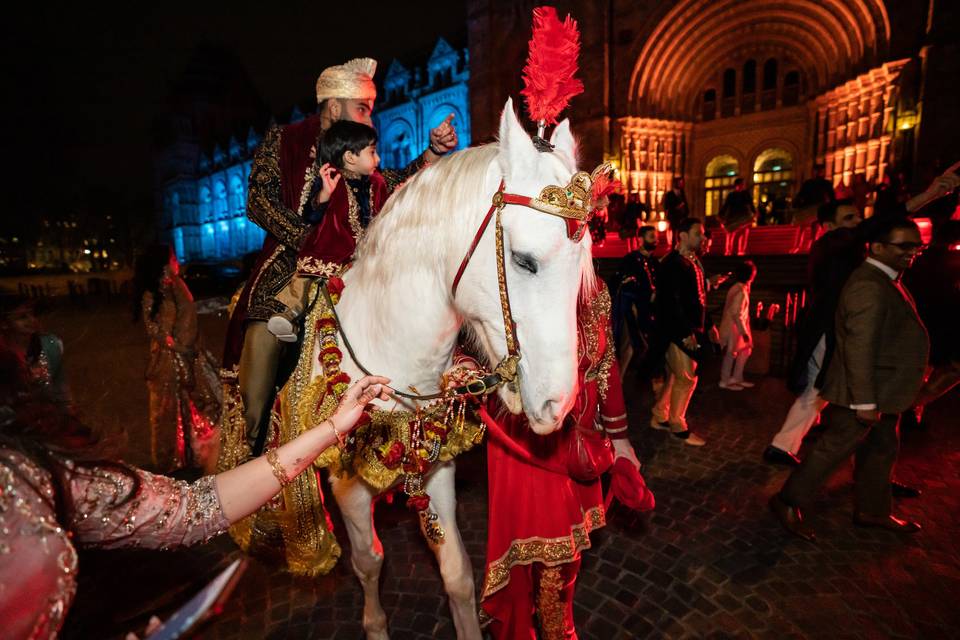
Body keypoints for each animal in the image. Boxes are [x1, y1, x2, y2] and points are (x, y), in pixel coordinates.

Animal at [318, 97, 596, 636]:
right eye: (523, 261)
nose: (560, 405)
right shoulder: (346, 486)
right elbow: (368, 562)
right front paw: (375, 624)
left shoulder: (435, 467)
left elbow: (458, 576)